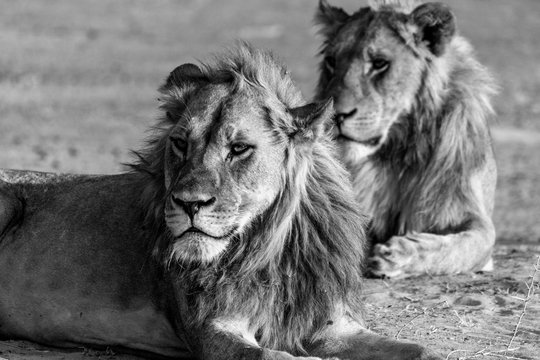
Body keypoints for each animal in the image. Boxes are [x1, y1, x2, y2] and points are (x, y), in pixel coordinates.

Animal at [0, 46, 440, 358]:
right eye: (180, 143)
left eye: (239, 148)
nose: (188, 203)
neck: (267, 252)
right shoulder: (213, 329)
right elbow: (271, 357)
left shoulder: (330, 325)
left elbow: (421, 350)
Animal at [316, 0, 498, 278]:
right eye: (331, 62)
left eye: (379, 63)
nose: (335, 114)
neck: (397, 150)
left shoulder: (469, 212)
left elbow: (458, 248)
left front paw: (395, 255)